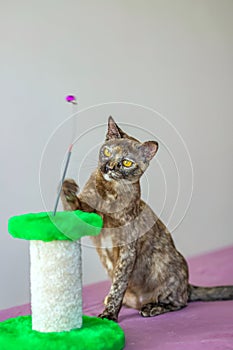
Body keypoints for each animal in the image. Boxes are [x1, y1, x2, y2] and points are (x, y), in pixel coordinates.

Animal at [60, 116, 233, 322]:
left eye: (127, 163)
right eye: (107, 151)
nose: (109, 167)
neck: (109, 194)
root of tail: (188, 285)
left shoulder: (127, 248)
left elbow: (119, 283)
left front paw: (109, 315)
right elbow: (74, 206)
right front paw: (67, 187)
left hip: (166, 264)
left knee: (180, 302)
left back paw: (151, 307)